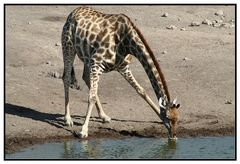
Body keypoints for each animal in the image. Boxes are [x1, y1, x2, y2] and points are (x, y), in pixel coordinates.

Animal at [61, 6, 180, 140]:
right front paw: (83, 131)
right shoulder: (97, 62)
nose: (173, 136)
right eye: (169, 117)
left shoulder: (123, 67)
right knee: (66, 77)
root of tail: (72, 13)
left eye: (178, 118)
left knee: (85, 78)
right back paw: (68, 119)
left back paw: (104, 116)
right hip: (69, 47)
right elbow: (91, 97)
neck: (127, 42)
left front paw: (159, 117)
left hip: (87, 57)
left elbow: (141, 91)